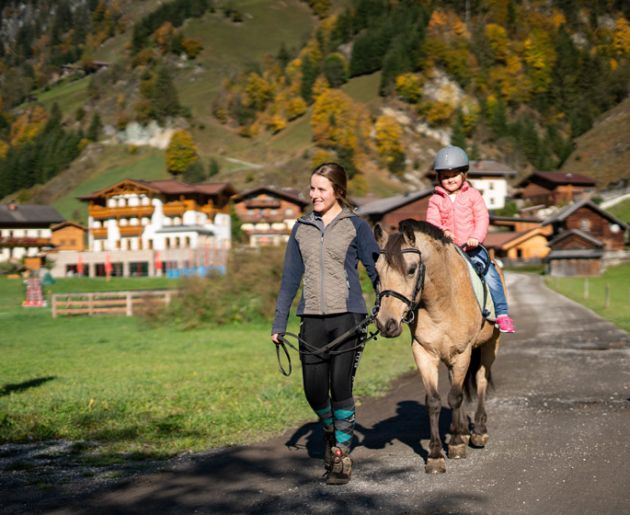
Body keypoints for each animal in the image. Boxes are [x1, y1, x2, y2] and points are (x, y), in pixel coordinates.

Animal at [376, 220, 504, 474]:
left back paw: (477, 432)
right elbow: (434, 401)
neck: (441, 303)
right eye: (377, 271)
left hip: (489, 346)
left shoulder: (463, 352)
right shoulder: (424, 353)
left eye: (411, 269)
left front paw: (455, 445)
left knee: (481, 380)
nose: (386, 324)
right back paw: (462, 429)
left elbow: (454, 397)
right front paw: (435, 455)